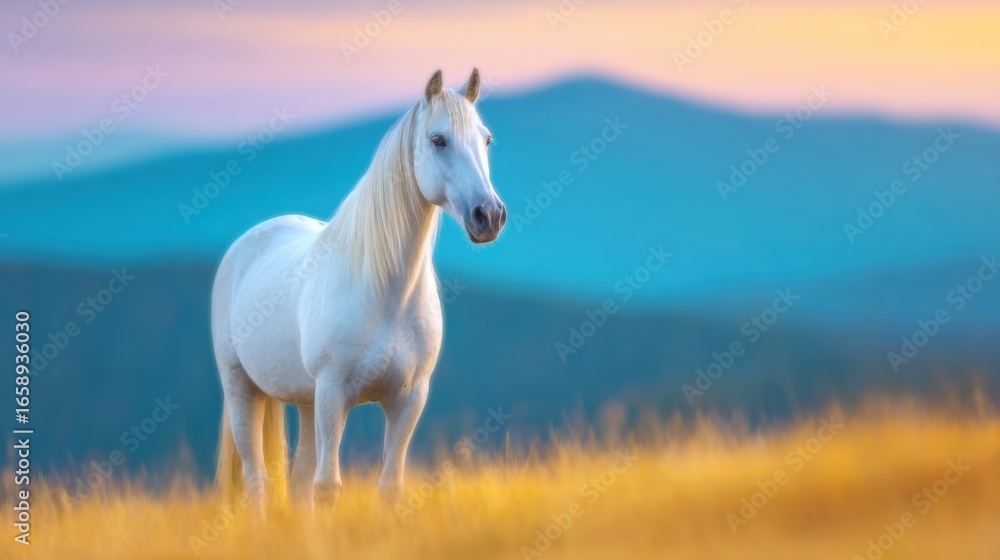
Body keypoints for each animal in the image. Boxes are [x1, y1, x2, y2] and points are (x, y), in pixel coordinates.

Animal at [211, 69, 506, 511]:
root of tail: (246, 243)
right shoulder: (334, 395)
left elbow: (389, 486)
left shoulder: (408, 400)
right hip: (242, 389)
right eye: (438, 140)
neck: (388, 296)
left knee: (298, 481)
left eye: (486, 139)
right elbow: (327, 488)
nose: (489, 215)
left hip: (306, 400)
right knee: (258, 481)